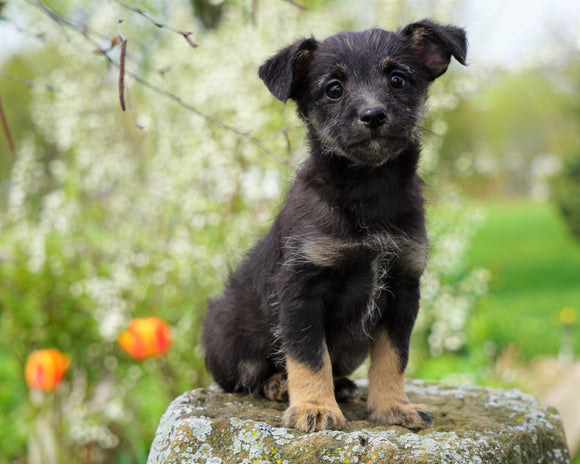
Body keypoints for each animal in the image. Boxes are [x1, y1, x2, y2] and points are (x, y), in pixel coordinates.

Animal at [203, 20, 466, 434]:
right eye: (333, 89)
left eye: (398, 79)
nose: (373, 115)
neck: (367, 191)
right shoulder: (302, 290)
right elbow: (309, 355)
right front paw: (314, 407)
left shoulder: (403, 289)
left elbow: (394, 357)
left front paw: (393, 406)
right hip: (226, 330)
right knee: (249, 376)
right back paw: (279, 384)